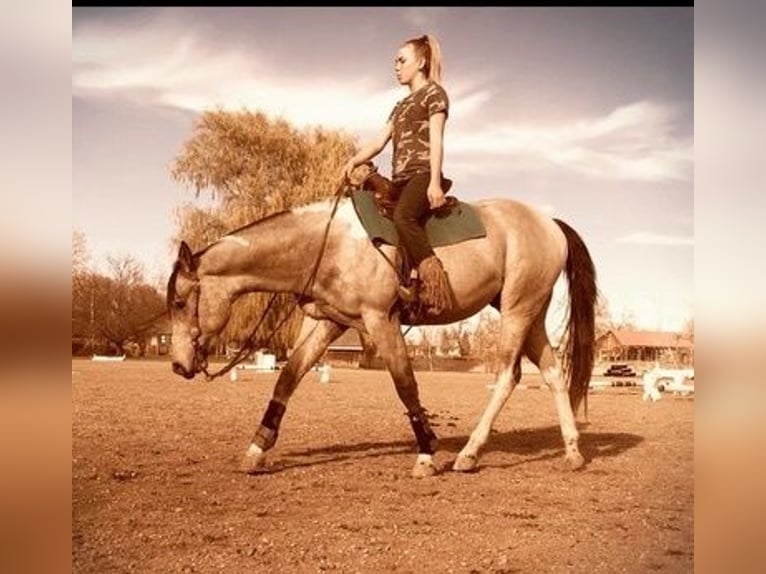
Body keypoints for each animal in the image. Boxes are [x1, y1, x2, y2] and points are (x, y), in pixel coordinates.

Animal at [168, 191, 600, 480]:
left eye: (178, 302)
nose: (177, 365)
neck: (329, 244)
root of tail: (549, 224)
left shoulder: (381, 321)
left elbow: (405, 385)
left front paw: (426, 455)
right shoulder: (329, 322)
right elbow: (288, 377)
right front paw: (256, 449)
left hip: (516, 312)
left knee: (507, 377)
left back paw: (469, 453)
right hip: (531, 315)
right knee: (553, 374)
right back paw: (572, 451)